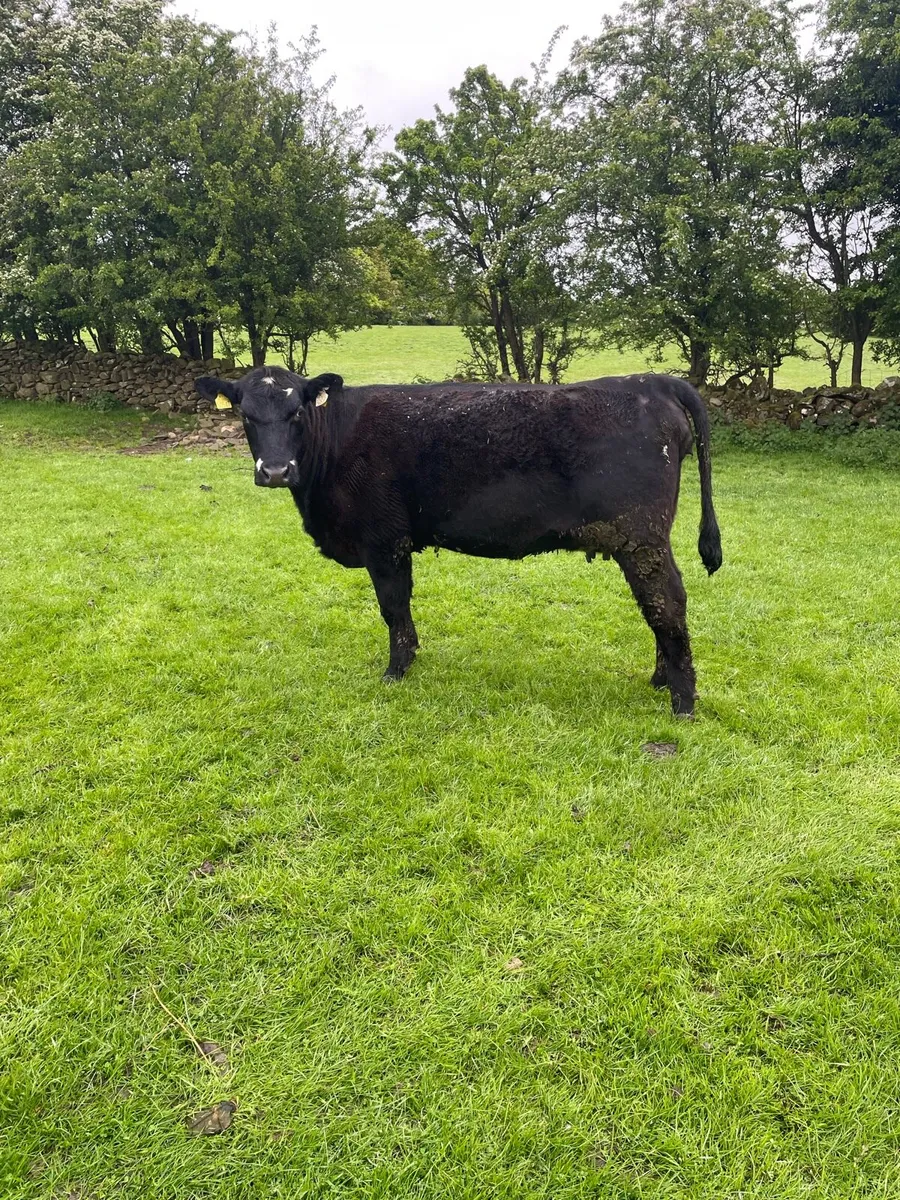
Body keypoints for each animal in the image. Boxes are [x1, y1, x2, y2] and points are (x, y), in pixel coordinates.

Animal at [194, 368, 722, 717]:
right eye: (245, 416)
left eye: (297, 412)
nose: (275, 470)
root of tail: (650, 381)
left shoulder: (383, 540)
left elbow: (393, 607)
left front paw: (395, 671)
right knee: (658, 605)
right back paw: (660, 680)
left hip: (641, 537)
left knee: (667, 602)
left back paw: (682, 702)